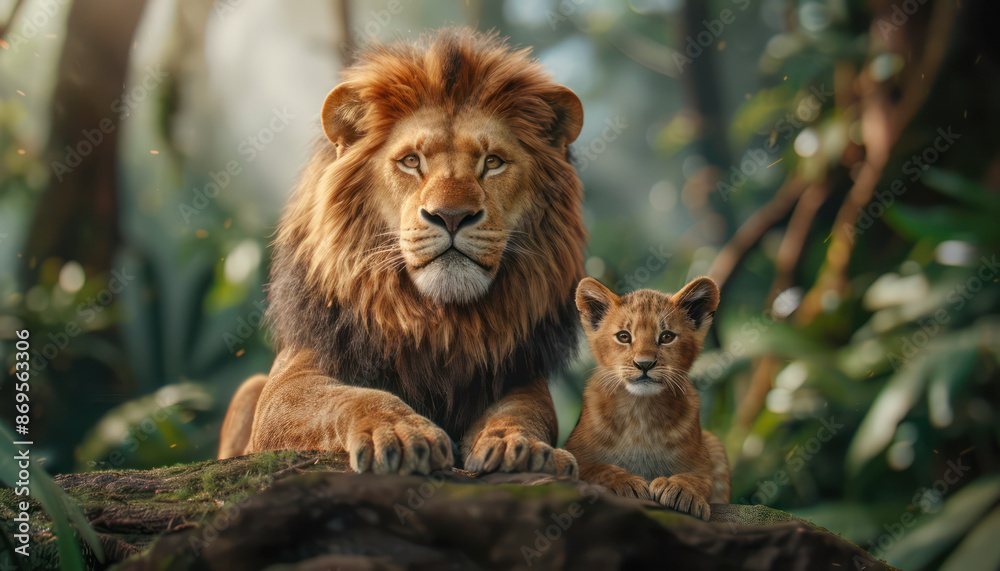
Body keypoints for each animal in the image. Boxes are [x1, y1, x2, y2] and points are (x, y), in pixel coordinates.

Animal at [218, 28, 586, 478]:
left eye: (493, 162)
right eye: (411, 161)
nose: (451, 216)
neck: (440, 322)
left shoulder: (520, 375)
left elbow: (526, 412)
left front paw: (519, 444)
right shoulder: (286, 386)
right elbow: (353, 397)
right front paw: (401, 432)